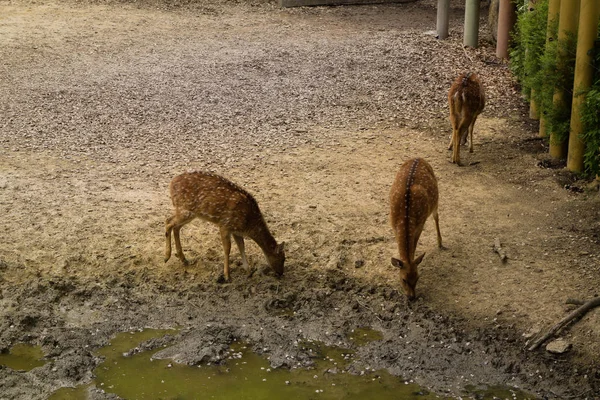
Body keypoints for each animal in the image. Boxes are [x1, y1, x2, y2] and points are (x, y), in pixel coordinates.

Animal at [392, 157, 442, 300]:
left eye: (418, 278)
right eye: (403, 279)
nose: (412, 297)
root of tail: (418, 158)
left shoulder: (420, 224)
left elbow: (413, 247)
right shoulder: (393, 225)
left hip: (436, 199)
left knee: (436, 217)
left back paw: (440, 243)